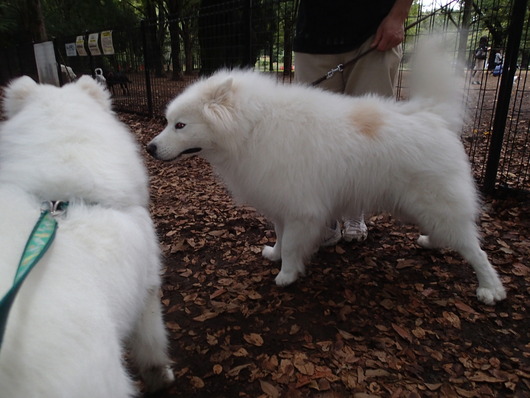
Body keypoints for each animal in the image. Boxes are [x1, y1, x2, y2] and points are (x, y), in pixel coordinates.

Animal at [146, 39, 506, 304]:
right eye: (168, 122)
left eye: (180, 125)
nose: (149, 148)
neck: (253, 126)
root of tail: (433, 115)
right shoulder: (281, 206)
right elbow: (281, 238)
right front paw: (275, 255)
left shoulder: (301, 210)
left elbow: (294, 245)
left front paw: (286, 275)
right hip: (416, 204)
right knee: (451, 234)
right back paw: (432, 241)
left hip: (434, 202)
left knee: (476, 250)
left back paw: (490, 289)